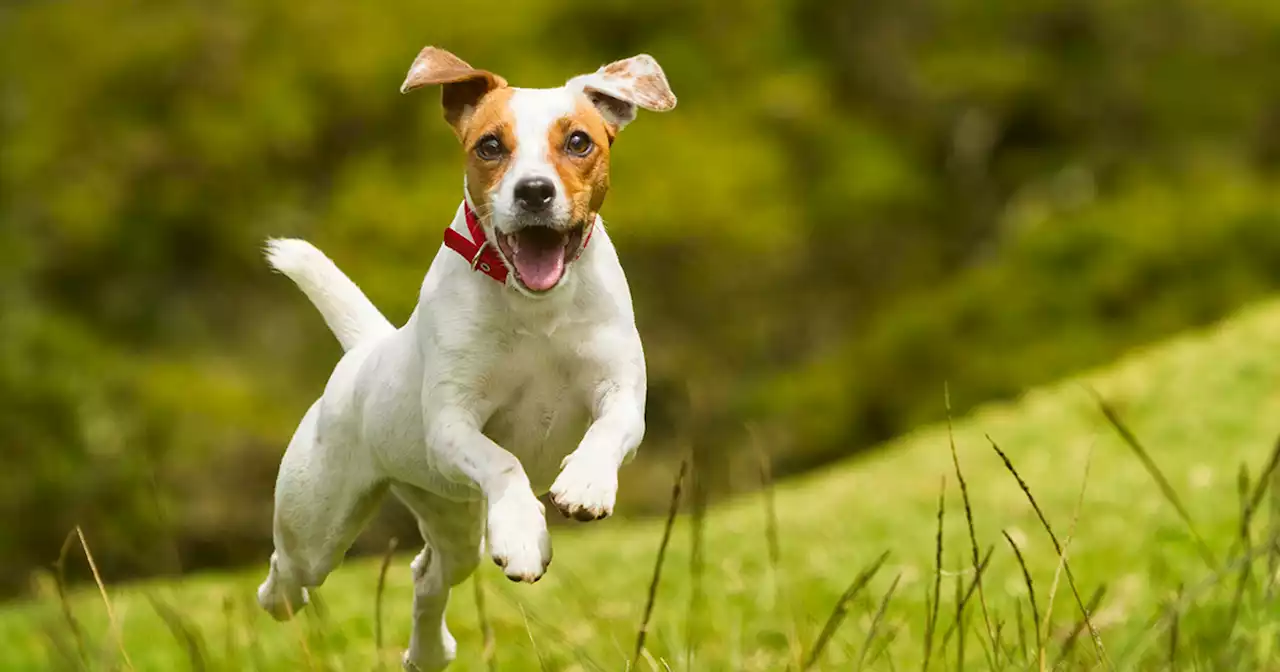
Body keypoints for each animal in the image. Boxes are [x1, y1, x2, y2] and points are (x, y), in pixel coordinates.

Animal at [248, 44, 670, 665]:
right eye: (490, 146)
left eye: (578, 141)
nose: (534, 191)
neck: (534, 306)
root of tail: (366, 349)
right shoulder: (451, 425)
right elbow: (504, 461)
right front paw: (522, 533)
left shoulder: (621, 390)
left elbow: (609, 429)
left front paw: (585, 484)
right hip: (317, 524)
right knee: (288, 576)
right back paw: (282, 600)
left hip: (450, 517)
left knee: (427, 575)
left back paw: (428, 653)